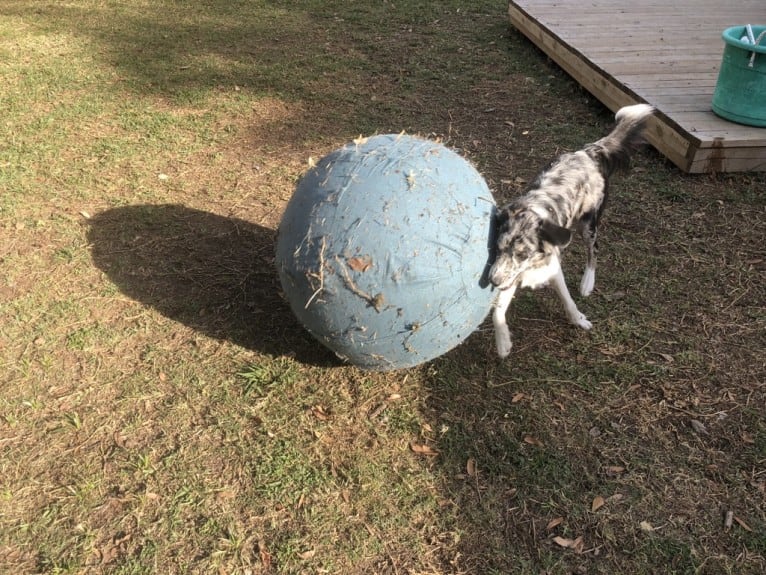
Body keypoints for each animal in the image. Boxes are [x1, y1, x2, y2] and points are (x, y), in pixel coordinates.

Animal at [492, 102, 656, 356]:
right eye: (497, 248)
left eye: (522, 254)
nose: (493, 280)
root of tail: (589, 151)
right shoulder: (511, 274)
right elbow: (497, 311)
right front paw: (503, 343)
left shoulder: (551, 269)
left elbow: (568, 300)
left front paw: (578, 319)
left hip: (588, 225)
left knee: (594, 250)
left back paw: (587, 282)